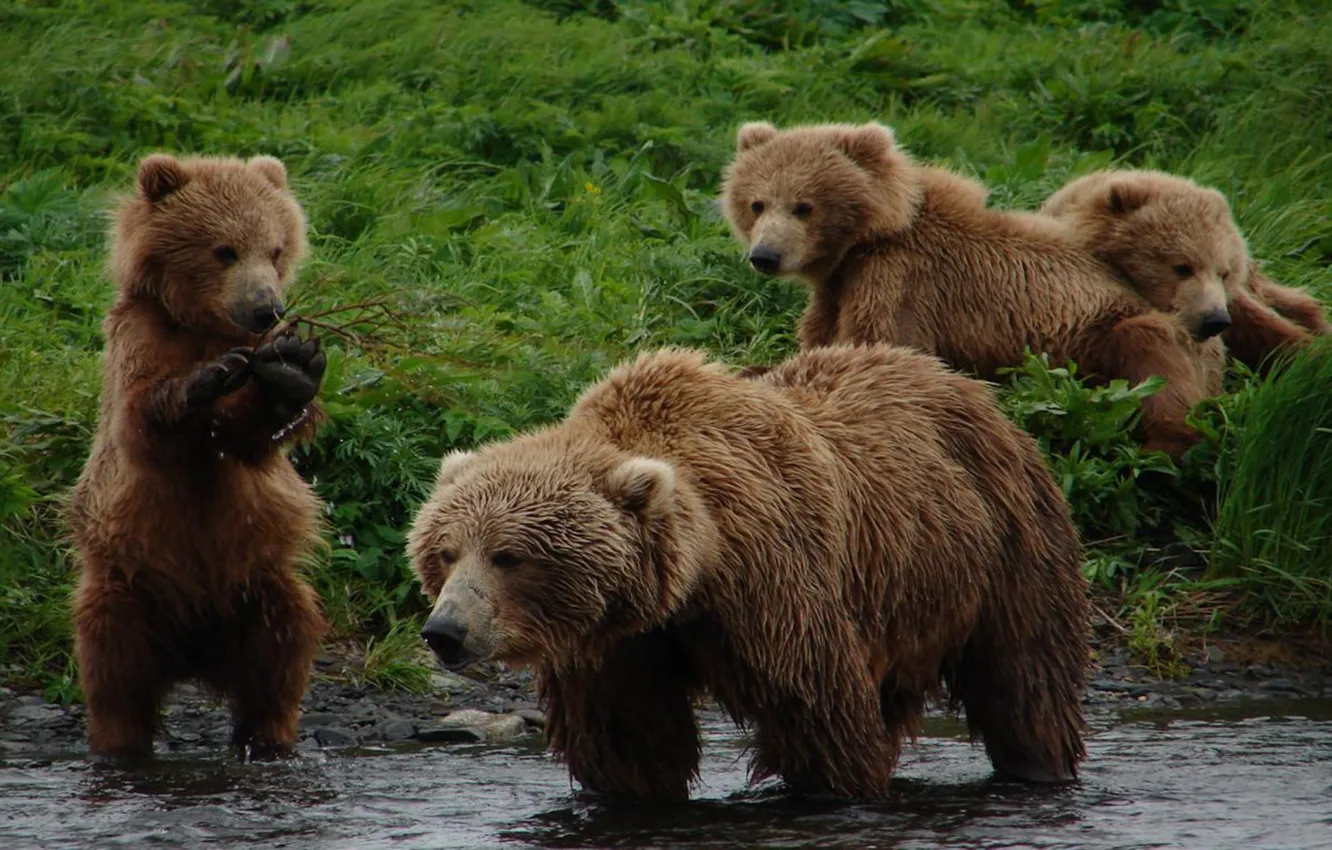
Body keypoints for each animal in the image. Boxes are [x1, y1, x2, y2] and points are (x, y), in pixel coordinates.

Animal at [67, 153, 329, 763]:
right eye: (224, 249)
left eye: (275, 248)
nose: (266, 308)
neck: (203, 324)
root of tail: (194, 653)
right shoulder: (139, 339)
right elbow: (143, 419)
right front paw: (203, 381)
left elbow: (252, 437)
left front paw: (293, 369)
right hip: (127, 587)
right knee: (113, 668)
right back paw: (120, 744)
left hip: (261, 588)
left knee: (282, 656)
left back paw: (270, 739)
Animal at [406, 344, 1090, 800]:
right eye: (445, 551)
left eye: (508, 555)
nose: (446, 632)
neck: (695, 578)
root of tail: (965, 382)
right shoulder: (618, 644)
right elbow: (627, 741)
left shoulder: (775, 589)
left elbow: (818, 712)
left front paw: (830, 787)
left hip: (1003, 542)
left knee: (1024, 675)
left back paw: (1038, 766)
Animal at [720, 120, 1225, 459]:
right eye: (757, 203)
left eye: (804, 206)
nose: (765, 255)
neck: (866, 241)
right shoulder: (837, 287)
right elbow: (820, 343)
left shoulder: (901, 280)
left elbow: (880, 348)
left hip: (1120, 332)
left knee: (1153, 358)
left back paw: (1161, 444)